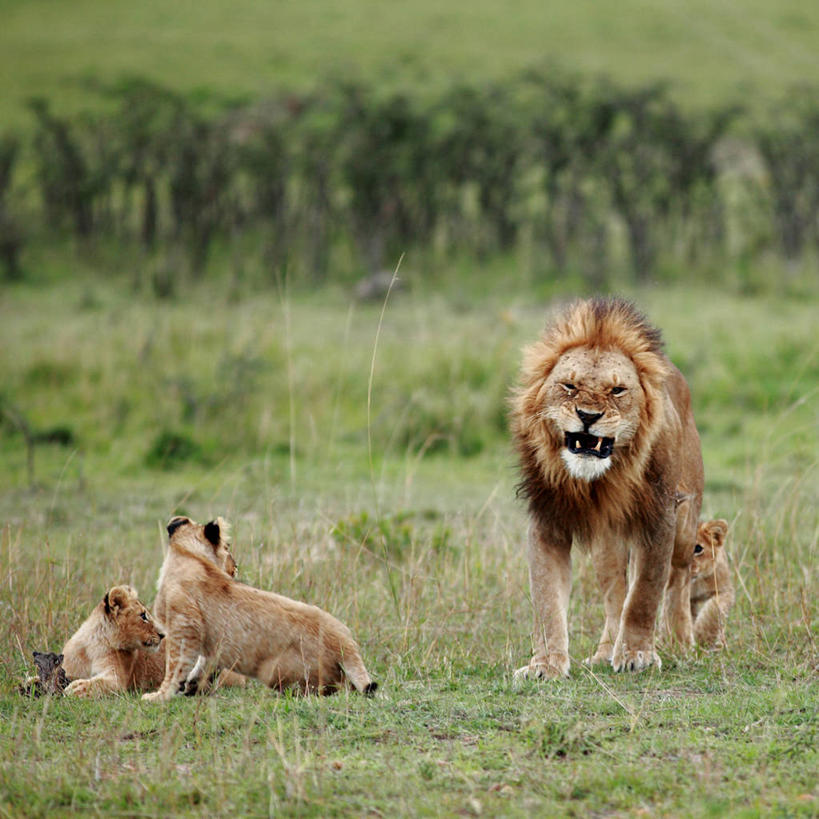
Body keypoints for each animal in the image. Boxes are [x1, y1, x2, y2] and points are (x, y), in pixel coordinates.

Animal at [512, 296, 704, 680]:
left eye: (617, 390)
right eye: (569, 386)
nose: (588, 416)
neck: (597, 481)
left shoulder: (660, 517)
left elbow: (645, 593)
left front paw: (637, 655)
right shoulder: (547, 520)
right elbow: (546, 598)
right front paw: (546, 665)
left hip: (685, 522)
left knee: (677, 578)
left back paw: (682, 644)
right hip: (606, 549)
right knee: (615, 595)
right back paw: (604, 653)